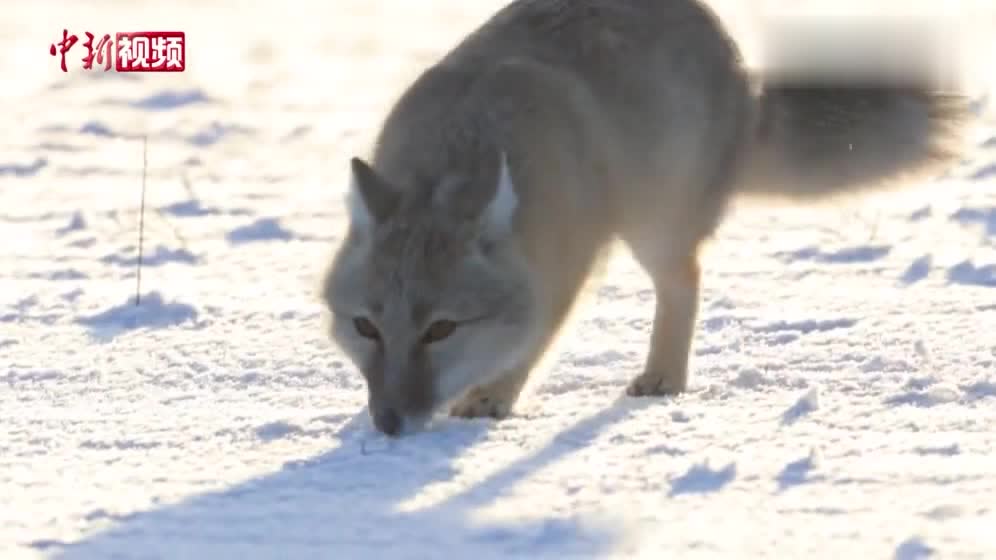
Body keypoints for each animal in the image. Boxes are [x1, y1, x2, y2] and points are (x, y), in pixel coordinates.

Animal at [320, 0, 972, 436]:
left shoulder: (565, 272)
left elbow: (531, 341)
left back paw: (663, 377)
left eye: (441, 329)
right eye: (366, 328)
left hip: (652, 226)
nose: (389, 422)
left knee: (684, 281)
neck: (462, 147)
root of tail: (746, 84)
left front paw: (492, 396)